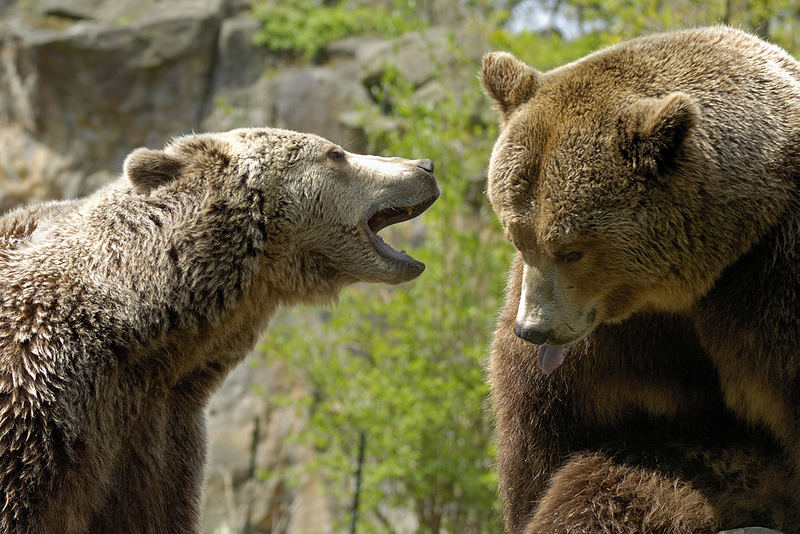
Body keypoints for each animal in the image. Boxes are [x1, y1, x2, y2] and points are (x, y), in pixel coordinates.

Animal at [482, 26, 800, 534]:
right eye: (517, 236)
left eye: (570, 248)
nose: (532, 329)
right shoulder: (609, 342)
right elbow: (544, 427)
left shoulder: (771, 280)